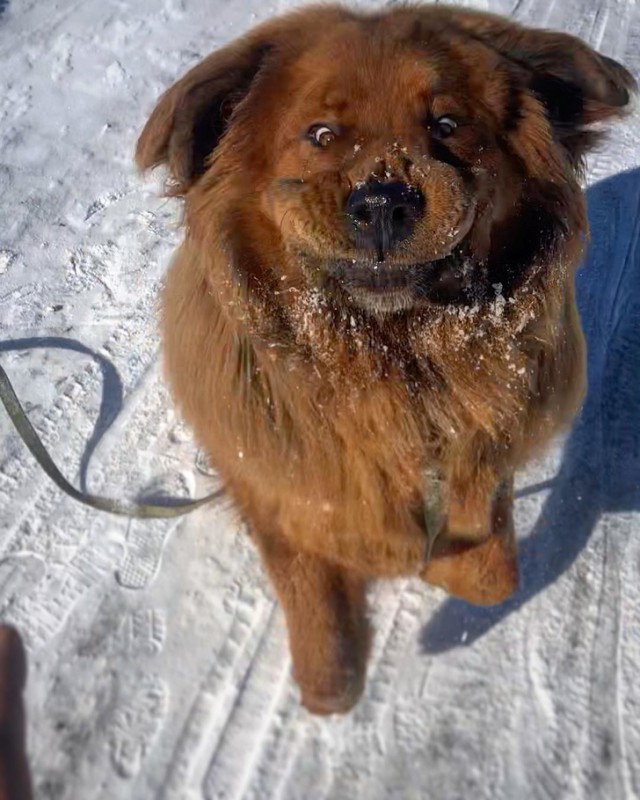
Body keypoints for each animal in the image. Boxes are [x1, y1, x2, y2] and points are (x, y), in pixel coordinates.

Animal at [136, 0, 636, 712]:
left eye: (447, 126)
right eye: (320, 134)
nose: (382, 201)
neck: (398, 367)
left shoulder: (485, 458)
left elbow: (493, 574)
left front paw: (438, 566)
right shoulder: (274, 488)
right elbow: (321, 627)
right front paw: (334, 670)